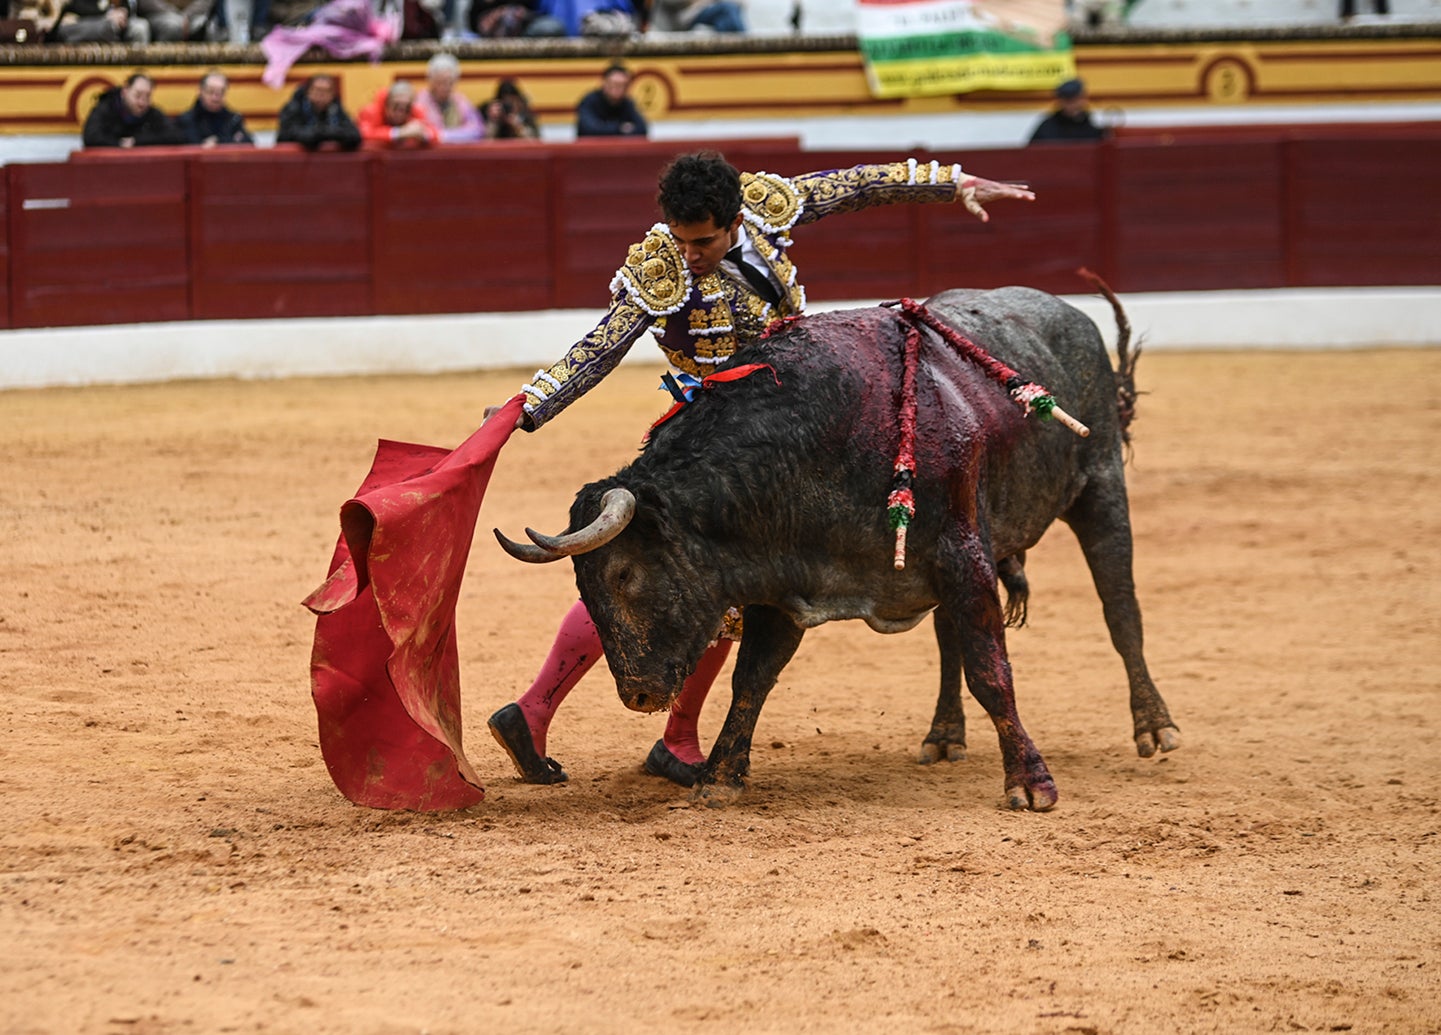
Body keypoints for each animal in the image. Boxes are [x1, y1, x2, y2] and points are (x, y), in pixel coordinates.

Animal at [501, 283, 1175, 813]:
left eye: (622, 575)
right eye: (583, 585)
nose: (637, 694)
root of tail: (1069, 312)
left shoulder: (963, 559)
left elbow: (993, 673)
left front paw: (1032, 784)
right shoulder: (784, 587)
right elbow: (752, 678)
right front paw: (719, 777)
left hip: (1100, 488)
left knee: (1121, 610)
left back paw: (1155, 727)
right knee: (950, 641)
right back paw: (944, 736)